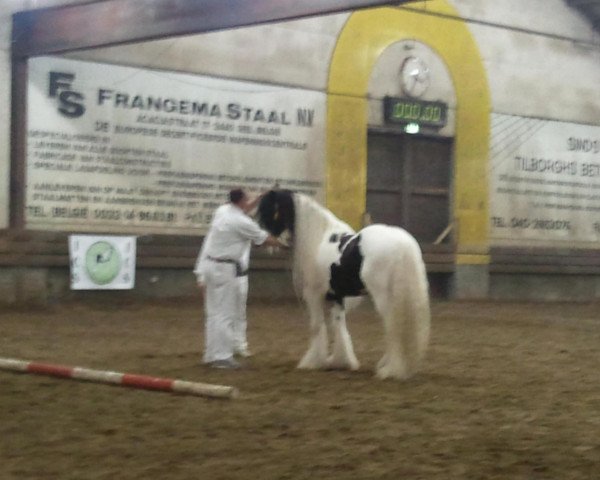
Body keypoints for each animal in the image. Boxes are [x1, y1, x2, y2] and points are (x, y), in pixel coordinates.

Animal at [258, 189, 432, 380]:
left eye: (268, 209)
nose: (265, 241)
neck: (319, 238)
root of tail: (403, 245)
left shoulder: (314, 295)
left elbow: (317, 326)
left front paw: (313, 362)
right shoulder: (337, 296)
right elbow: (339, 324)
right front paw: (341, 361)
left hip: (384, 298)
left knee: (393, 327)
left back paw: (389, 369)